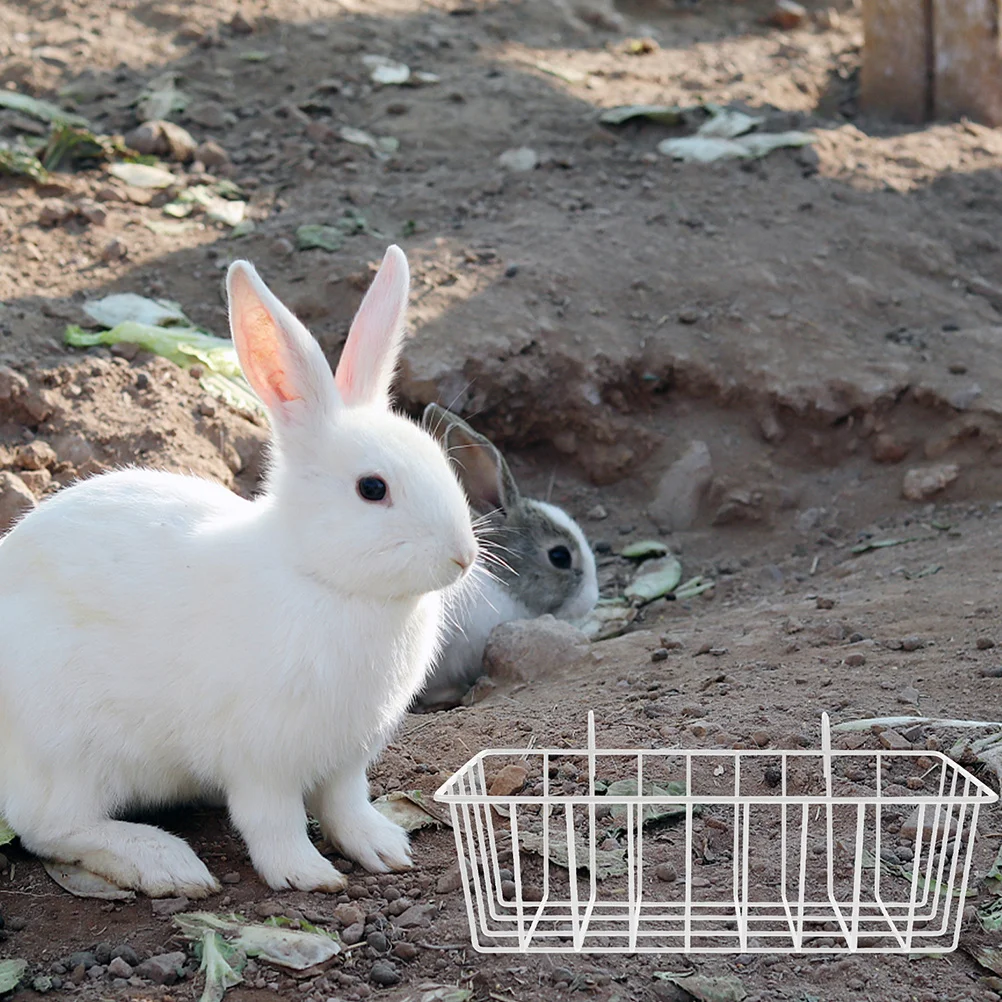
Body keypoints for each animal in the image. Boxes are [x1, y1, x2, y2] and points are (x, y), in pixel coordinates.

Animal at [0, 245, 479, 899]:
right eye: (372, 489)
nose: (463, 555)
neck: (320, 578)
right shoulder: (262, 760)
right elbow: (272, 820)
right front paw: (307, 874)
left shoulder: (346, 757)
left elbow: (346, 806)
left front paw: (384, 850)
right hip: (71, 747)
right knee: (49, 826)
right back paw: (167, 864)